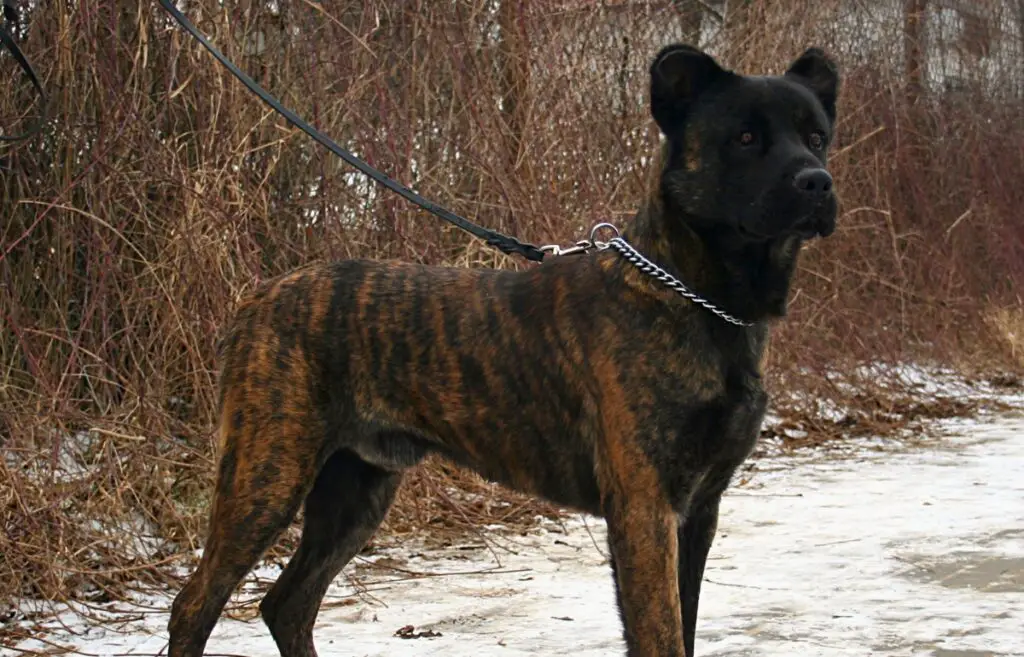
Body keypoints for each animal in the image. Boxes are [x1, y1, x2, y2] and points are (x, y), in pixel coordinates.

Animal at [165, 43, 839, 650]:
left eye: (817, 136)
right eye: (745, 137)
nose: (818, 182)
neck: (696, 295)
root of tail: (258, 297)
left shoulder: (699, 510)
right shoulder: (646, 507)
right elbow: (662, 636)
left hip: (355, 489)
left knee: (288, 605)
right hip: (267, 477)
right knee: (195, 605)